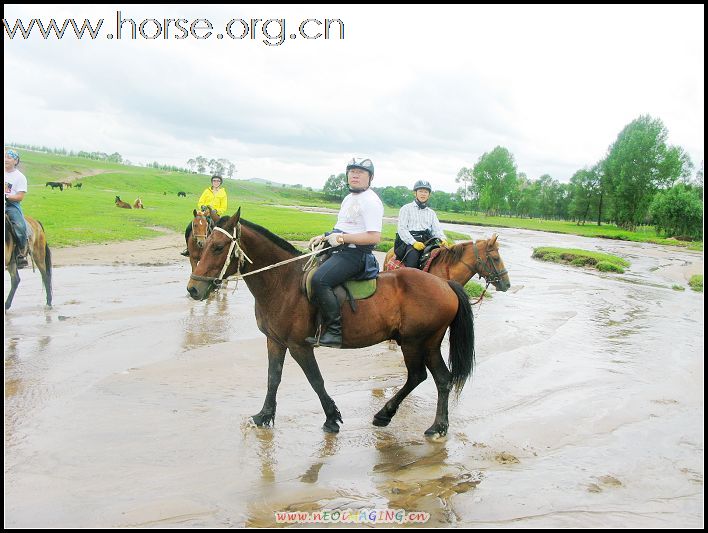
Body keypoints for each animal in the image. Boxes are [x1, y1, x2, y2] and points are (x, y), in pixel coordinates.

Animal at [188, 208, 476, 436]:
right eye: (204, 245)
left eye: (218, 247)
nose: (193, 289)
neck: (283, 281)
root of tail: (445, 285)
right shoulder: (275, 341)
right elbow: (273, 378)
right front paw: (264, 416)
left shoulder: (299, 346)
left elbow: (316, 380)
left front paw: (332, 418)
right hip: (427, 343)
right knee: (441, 379)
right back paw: (430, 424)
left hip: (415, 342)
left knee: (420, 376)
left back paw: (400, 418)